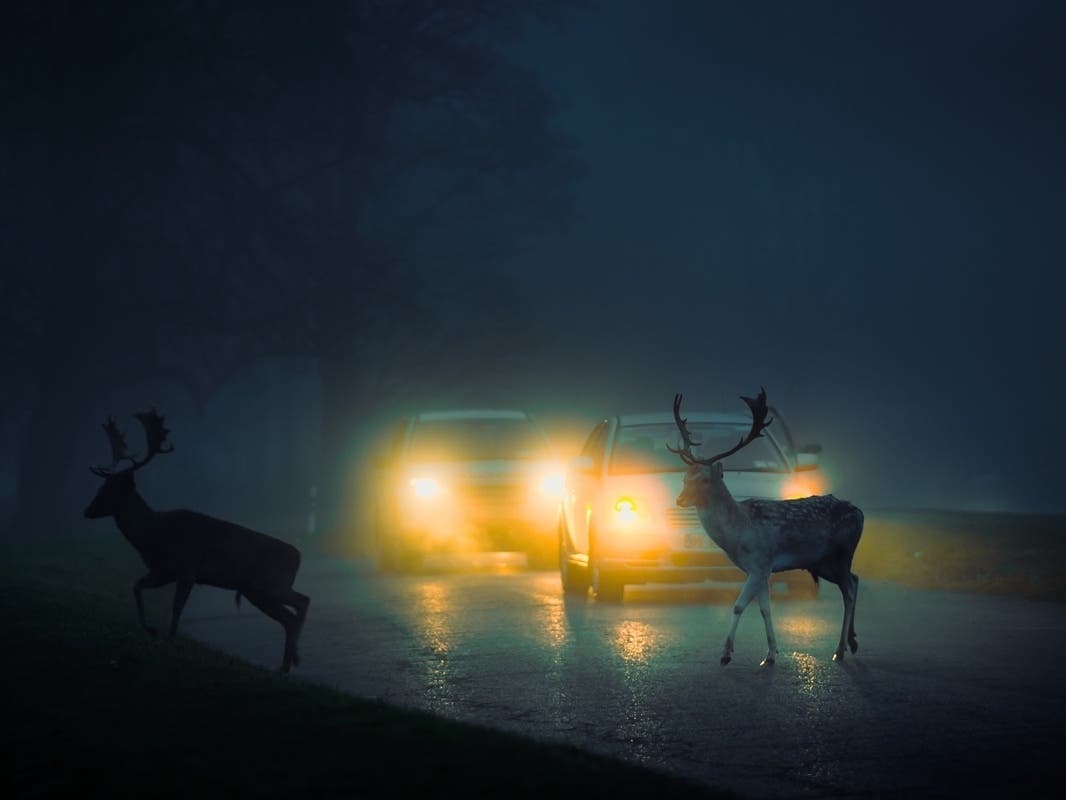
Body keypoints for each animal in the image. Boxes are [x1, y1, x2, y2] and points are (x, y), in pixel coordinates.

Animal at [83, 408, 311, 673]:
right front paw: (150, 629)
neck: (153, 535)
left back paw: (293, 660)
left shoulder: (187, 569)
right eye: (102, 485)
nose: (87, 510)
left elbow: (177, 606)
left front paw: (170, 640)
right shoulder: (163, 571)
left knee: (302, 601)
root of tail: (298, 556)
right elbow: (136, 587)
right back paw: (285, 665)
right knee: (289, 617)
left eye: (112, 489)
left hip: (271, 584)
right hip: (256, 591)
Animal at [668, 389, 863, 667]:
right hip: (823, 562)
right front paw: (770, 654)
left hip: (842, 553)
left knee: (848, 589)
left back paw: (840, 650)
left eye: (705, 480)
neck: (739, 533)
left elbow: (739, 606)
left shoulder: (761, 562)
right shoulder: (761, 569)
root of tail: (860, 512)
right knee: (855, 580)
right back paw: (851, 642)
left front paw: (726, 654)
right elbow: (764, 609)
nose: (680, 499)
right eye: (685, 478)